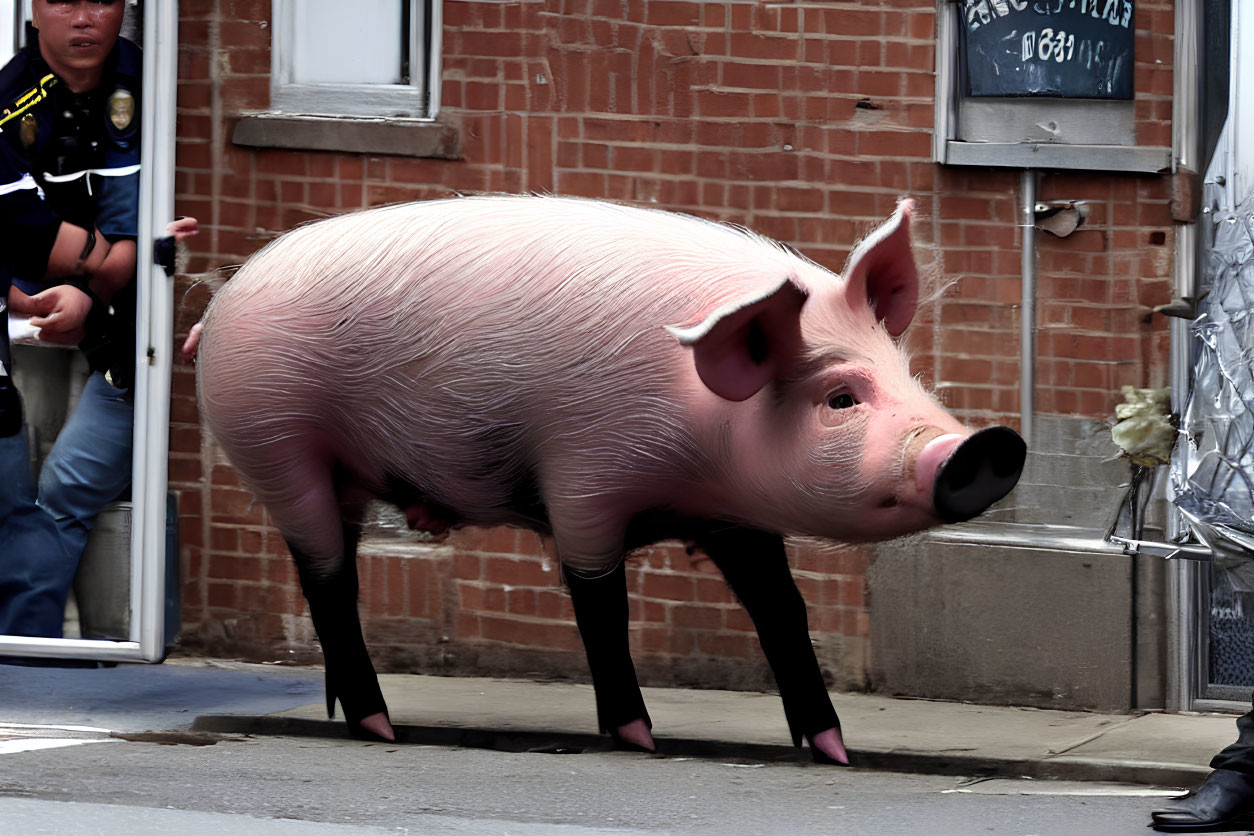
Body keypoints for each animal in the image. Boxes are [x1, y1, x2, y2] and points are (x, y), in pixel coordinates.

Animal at [193, 194, 1018, 752]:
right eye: (841, 397)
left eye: (910, 374)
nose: (986, 445)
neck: (695, 450)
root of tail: (220, 303)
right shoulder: (583, 474)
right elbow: (601, 605)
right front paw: (639, 738)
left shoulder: (737, 515)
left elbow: (782, 610)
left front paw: (833, 749)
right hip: (276, 441)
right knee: (327, 578)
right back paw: (380, 727)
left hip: (333, 471)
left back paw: (348, 715)